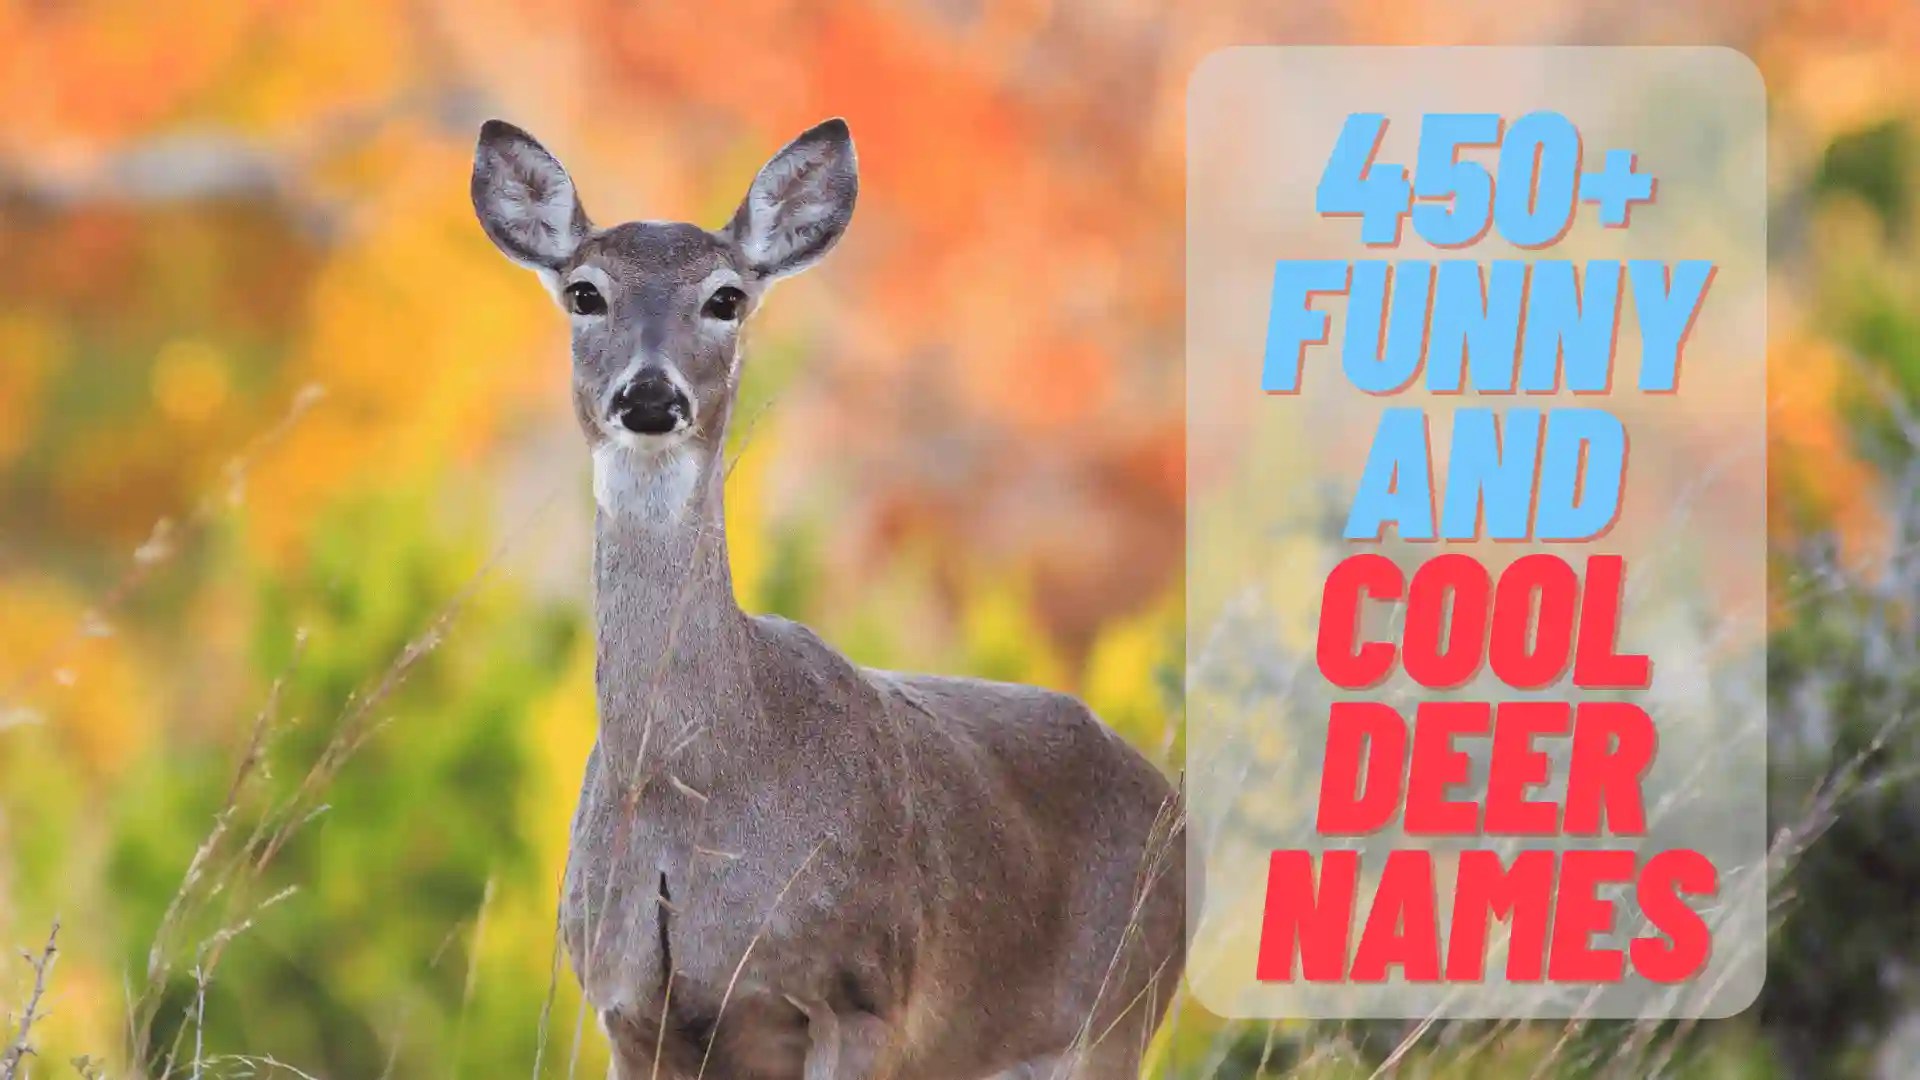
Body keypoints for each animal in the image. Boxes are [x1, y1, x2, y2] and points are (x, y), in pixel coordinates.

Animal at [471, 117, 1186, 1080]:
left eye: (726, 298)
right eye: (585, 292)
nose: (650, 393)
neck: (697, 789)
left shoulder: (861, 986)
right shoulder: (627, 1007)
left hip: (1114, 1022)